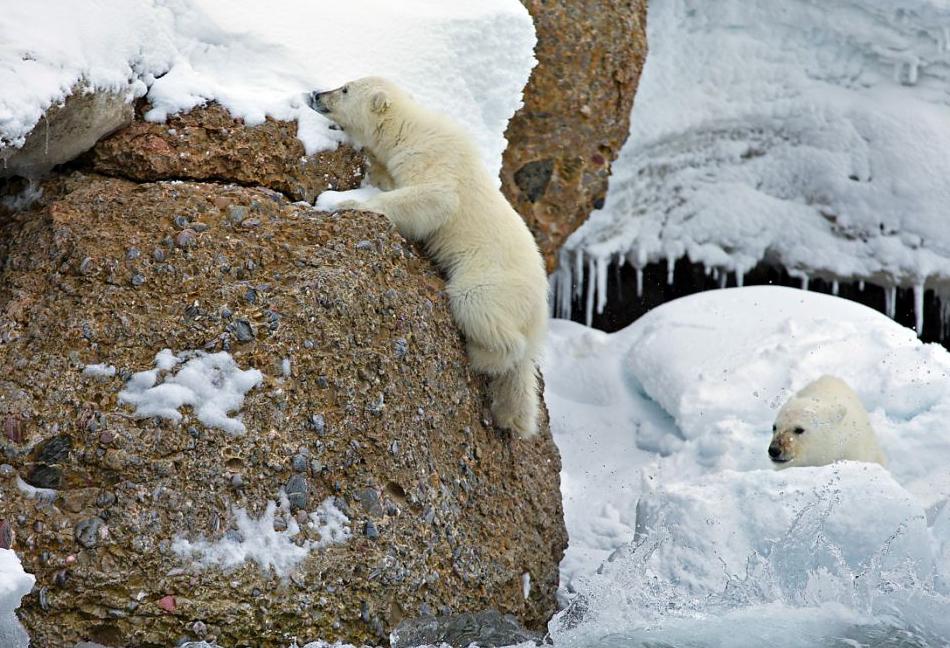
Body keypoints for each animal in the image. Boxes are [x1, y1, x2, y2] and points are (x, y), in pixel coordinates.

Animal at [308, 78, 552, 438]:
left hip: (492, 282)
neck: (409, 128)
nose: (316, 94)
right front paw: (373, 170)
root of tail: (539, 310)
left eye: (346, 89)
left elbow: (435, 199)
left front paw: (341, 202)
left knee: (480, 310)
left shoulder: (431, 157)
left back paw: (481, 356)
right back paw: (512, 416)